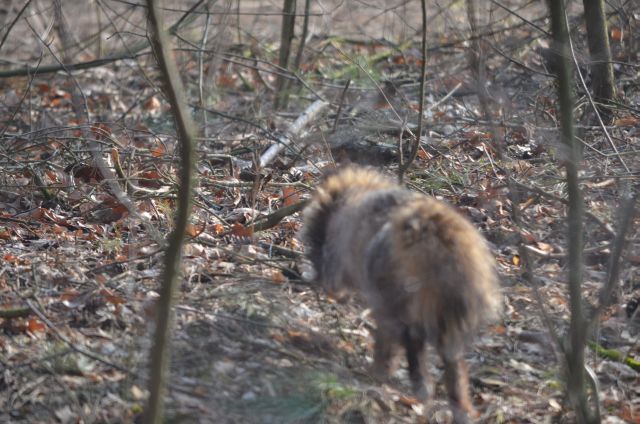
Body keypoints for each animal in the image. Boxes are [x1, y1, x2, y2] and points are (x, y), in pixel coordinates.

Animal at [302, 167, 502, 422]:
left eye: (318, 240)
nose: (319, 279)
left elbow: (388, 339)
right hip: (449, 309)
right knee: (451, 360)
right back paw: (461, 408)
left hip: (395, 296)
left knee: (409, 338)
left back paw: (406, 381)